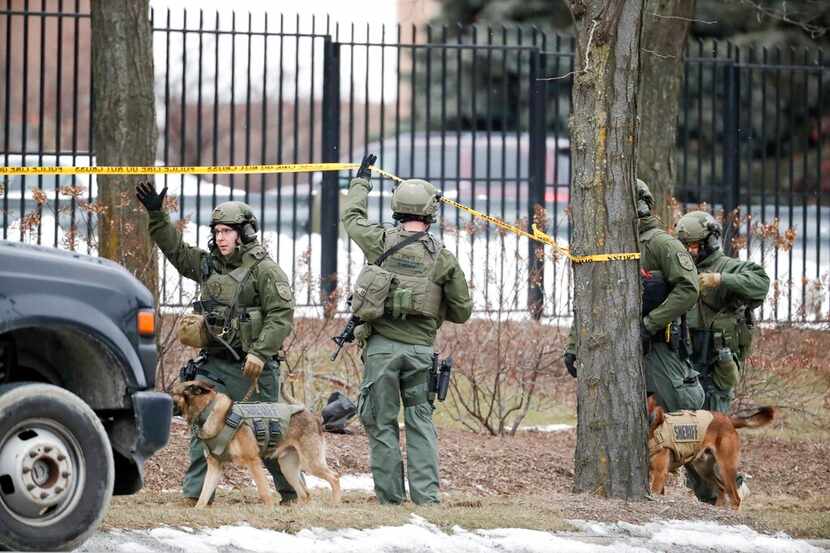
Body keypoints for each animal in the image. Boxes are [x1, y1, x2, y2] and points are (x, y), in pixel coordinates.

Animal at [171, 382, 342, 506]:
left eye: (172, 393)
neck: (209, 411)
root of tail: (307, 412)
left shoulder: (253, 461)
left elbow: (264, 492)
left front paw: (270, 511)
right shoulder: (215, 467)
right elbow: (203, 495)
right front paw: (197, 509)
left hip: (311, 464)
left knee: (334, 477)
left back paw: (335, 504)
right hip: (288, 468)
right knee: (304, 493)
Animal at [648, 404, 776, 512]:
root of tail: (728, 419)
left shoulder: (659, 474)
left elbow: (655, 492)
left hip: (725, 468)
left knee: (735, 498)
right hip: (704, 469)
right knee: (722, 489)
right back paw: (718, 508)